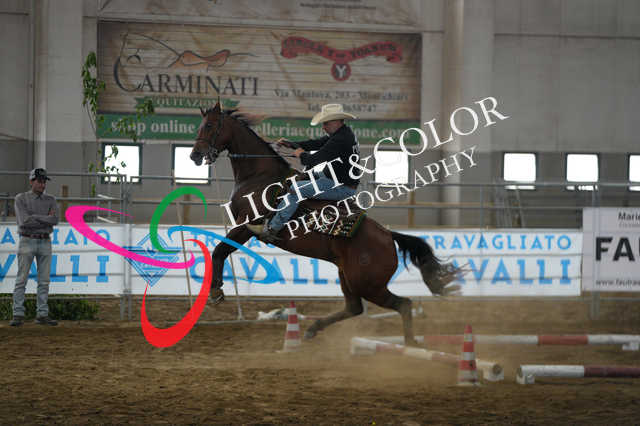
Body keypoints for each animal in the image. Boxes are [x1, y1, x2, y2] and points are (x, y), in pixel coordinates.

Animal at [190, 102, 460, 345]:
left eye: (210, 125)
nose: (195, 155)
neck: (260, 177)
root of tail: (387, 235)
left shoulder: (246, 226)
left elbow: (219, 251)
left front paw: (216, 292)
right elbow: (220, 251)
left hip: (368, 284)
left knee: (403, 304)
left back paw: (410, 343)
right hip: (348, 277)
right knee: (354, 308)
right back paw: (312, 330)